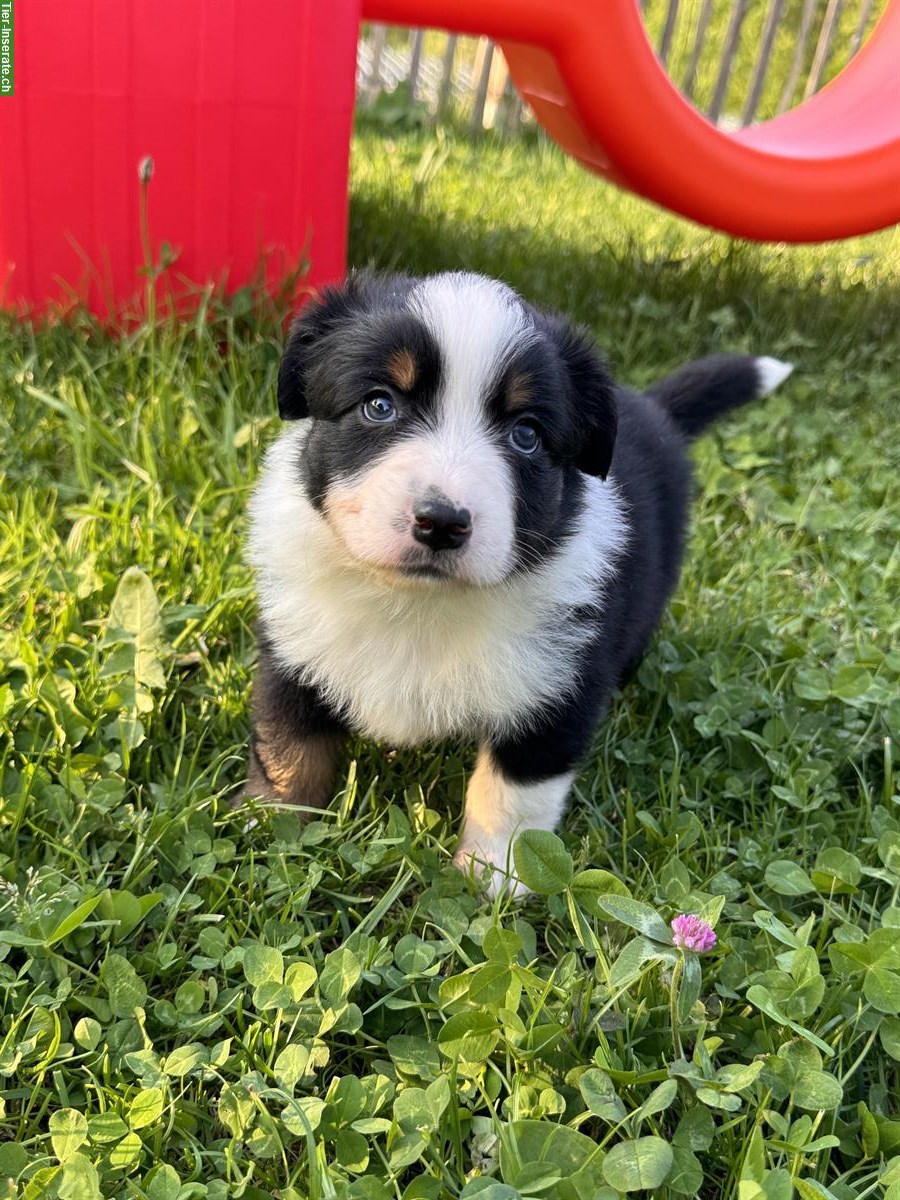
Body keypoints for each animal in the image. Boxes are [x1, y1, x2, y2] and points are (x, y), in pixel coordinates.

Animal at [247, 270, 796, 892]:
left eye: (526, 435)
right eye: (379, 404)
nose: (442, 522)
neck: (418, 605)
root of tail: (652, 407)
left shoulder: (555, 684)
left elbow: (511, 791)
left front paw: (493, 877)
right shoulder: (293, 643)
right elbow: (289, 744)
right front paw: (273, 828)